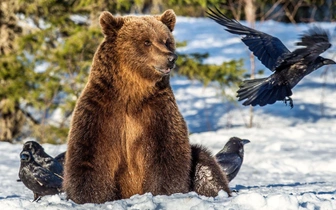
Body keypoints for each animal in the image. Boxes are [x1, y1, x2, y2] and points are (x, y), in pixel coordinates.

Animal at [63, 9, 231, 203]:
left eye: (166, 40)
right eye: (146, 41)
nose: (171, 58)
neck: (131, 93)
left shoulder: (156, 112)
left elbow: (166, 156)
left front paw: (165, 193)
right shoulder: (101, 111)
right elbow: (89, 158)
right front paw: (90, 197)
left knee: (205, 163)